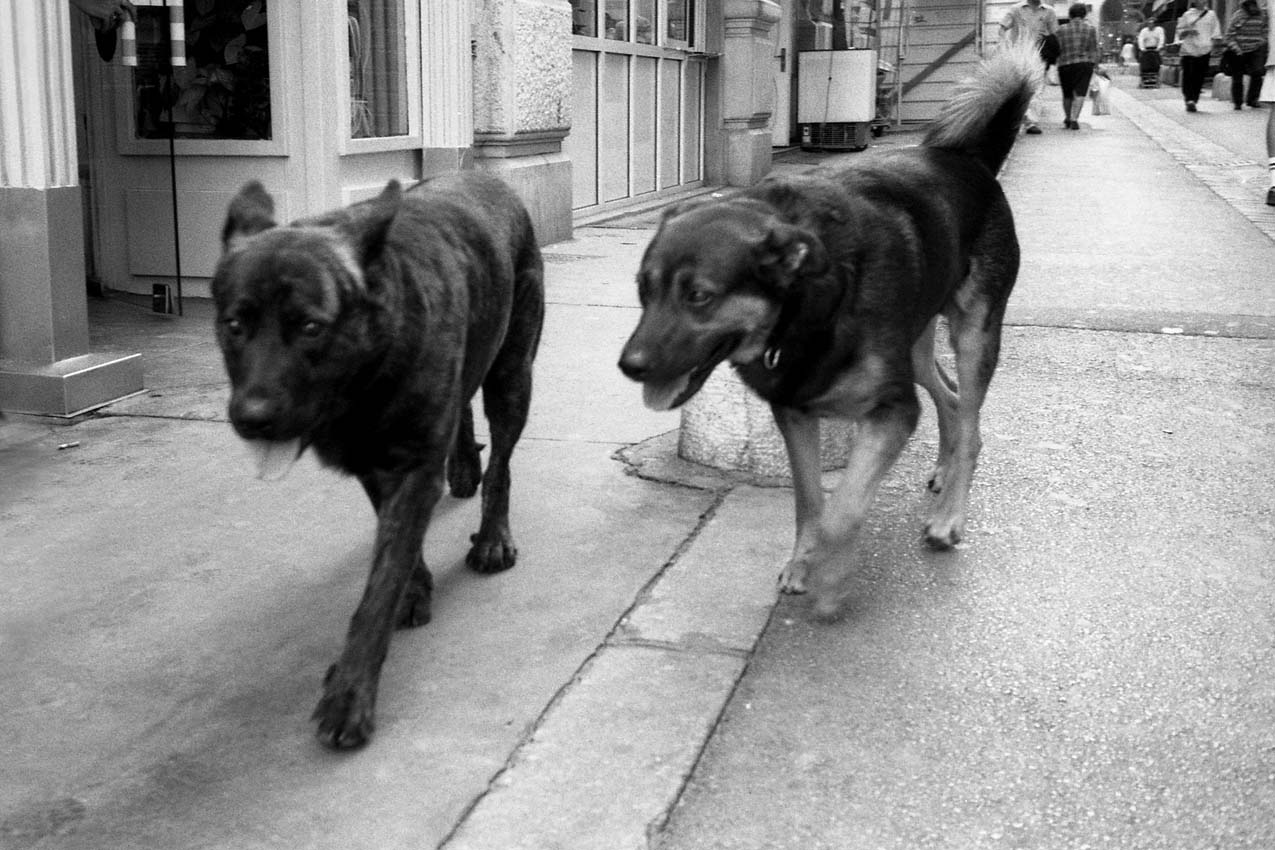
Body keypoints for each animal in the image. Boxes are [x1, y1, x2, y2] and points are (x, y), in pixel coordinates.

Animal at [210, 169, 548, 749]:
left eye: (310, 327)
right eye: (235, 325)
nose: (251, 417)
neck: (369, 371)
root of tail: (484, 174)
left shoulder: (410, 469)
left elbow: (377, 591)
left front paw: (350, 694)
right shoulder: (375, 466)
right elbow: (399, 554)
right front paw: (417, 587)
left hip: (512, 374)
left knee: (502, 465)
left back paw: (493, 536)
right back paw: (463, 467)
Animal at [619, 46, 1045, 614]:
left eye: (699, 297)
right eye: (643, 289)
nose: (630, 366)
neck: (807, 308)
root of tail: (971, 162)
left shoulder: (893, 411)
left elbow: (843, 509)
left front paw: (831, 578)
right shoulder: (795, 414)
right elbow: (810, 502)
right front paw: (804, 562)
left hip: (974, 336)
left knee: (972, 417)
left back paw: (949, 518)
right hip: (915, 347)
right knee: (953, 399)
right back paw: (943, 470)